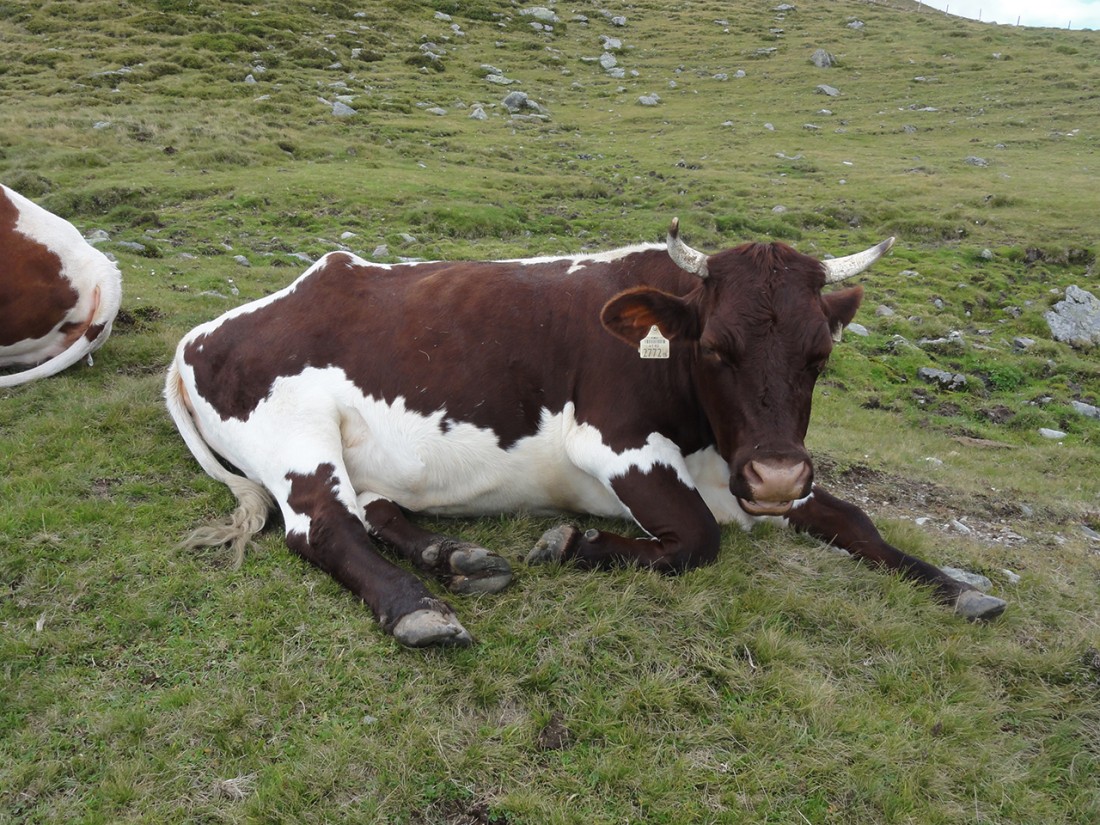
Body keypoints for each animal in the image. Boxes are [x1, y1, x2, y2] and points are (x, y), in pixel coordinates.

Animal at [165, 223, 1007, 651]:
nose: (773, 476)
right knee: (320, 526)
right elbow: (698, 537)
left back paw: (457, 556)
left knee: (375, 509)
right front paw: (573, 543)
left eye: (819, 354)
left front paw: (954, 586)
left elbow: (854, 518)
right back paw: (416, 606)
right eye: (716, 348)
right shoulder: (614, 444)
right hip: (296, 434)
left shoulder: (748, 466)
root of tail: (207, 331)